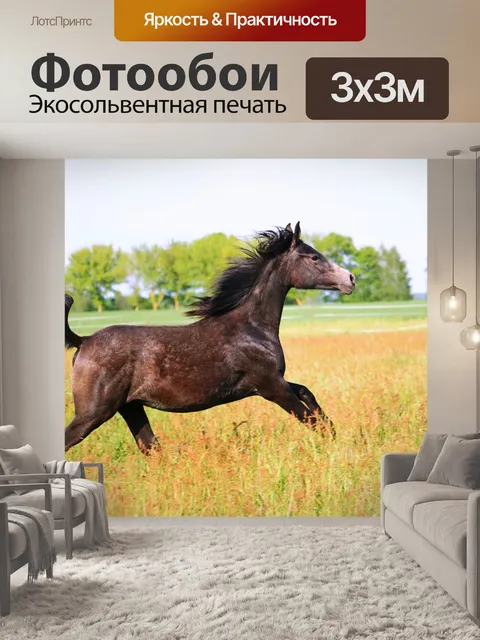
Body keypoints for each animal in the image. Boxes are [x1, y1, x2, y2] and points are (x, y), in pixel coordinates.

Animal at [64, 222, 356, 455]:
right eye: (313, 257)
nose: (350, 279)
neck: (252, 328)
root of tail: (83, 340)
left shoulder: (272, 382)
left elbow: (308, 394)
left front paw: (338, 434)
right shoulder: (270, 386)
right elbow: (310, 419)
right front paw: (339, 448)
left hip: (131, 407)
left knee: (151, 447)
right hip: (94, 412)